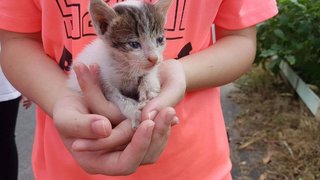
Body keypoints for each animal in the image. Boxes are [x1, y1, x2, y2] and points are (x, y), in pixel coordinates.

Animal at [67, 0, 172, 128]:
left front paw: (148, 87)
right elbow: (117, 97)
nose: (154, 58)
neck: (127, 66)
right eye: (134, 44)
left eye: (160, 40)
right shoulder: (105, 79)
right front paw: (134, 110)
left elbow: (149, 72)